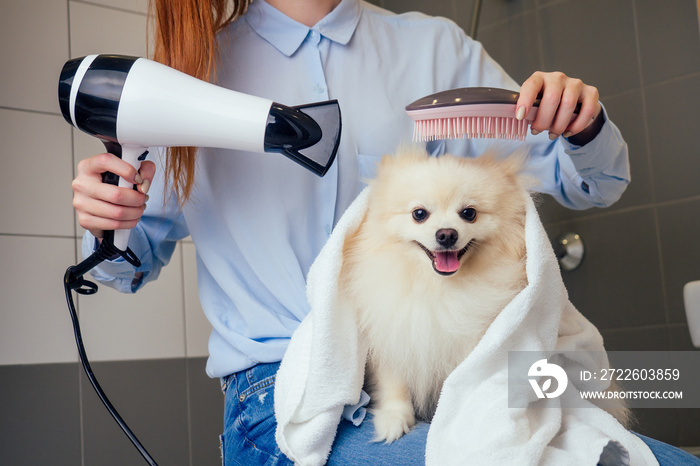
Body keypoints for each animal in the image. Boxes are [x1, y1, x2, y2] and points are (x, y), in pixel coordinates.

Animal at [340, 147, 532, 442]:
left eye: (469, 213)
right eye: (419, 213)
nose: (446, 234)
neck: (435, 287)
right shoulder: (391, 332)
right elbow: (393, 380)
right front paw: (394, 418)